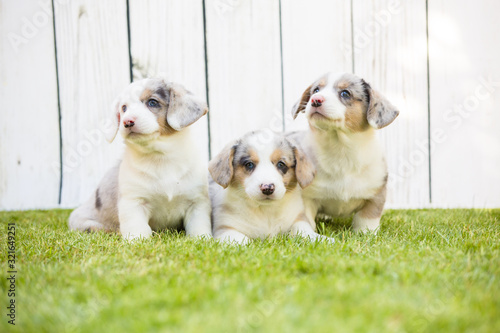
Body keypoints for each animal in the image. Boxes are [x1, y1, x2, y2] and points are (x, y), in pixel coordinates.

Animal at [68, 78, 211, 239]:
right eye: (124, 108)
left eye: (152, 102)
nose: (127, 121)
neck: (161, 157)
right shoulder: (133, 202)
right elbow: (138, 229)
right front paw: (137, 241)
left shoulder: (197, 203)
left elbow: (199, 228)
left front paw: (203, 240)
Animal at [290, 72, 398, 233]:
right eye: (316, 90)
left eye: (345, 93)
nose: (315, 100)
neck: (340, 149)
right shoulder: (308, 198)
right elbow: (307, 220)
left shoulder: (376, 194)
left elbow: (367, 219)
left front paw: (365, 233)